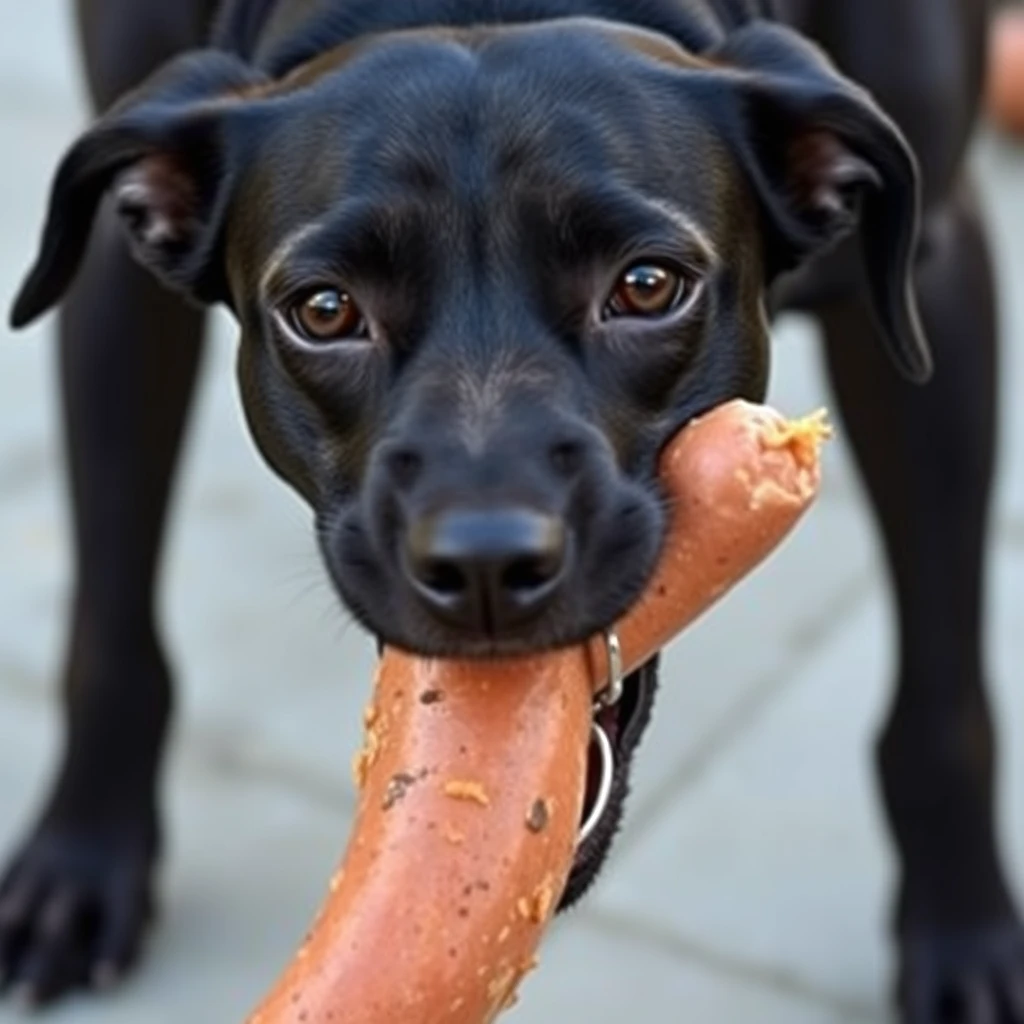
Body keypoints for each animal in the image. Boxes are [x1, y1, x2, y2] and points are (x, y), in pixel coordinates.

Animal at [0, 0, 1015, 1019]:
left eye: (647, 285)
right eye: (324, 310)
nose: (486, 564)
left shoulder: (935, 273)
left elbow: (941, 687)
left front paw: (964, 932)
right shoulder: (116, 280)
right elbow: (110, 619)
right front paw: (81, 860)